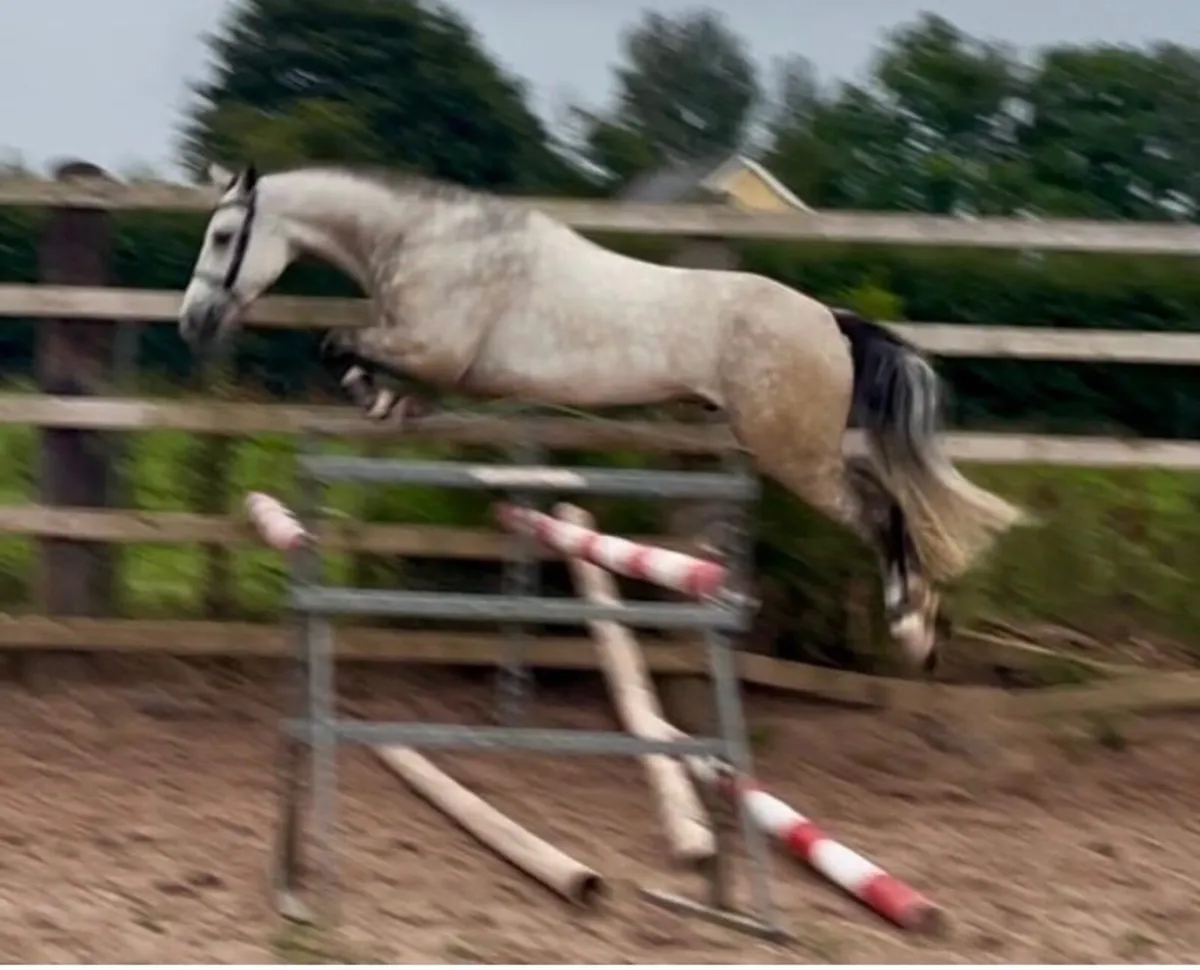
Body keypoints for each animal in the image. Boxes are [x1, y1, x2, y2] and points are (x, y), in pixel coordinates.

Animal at [179, 162, 1025, 672]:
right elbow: (373, 366)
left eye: (222, 236)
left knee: (883, 510)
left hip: (795, 454)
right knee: (894, 501)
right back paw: (921, 621)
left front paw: (372, 391)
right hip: (804, 447)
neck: (429, 241)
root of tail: (831, 321)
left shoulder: (435, 348)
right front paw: (386, 401)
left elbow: (339, 343)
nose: (193, 322)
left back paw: (911, 628)